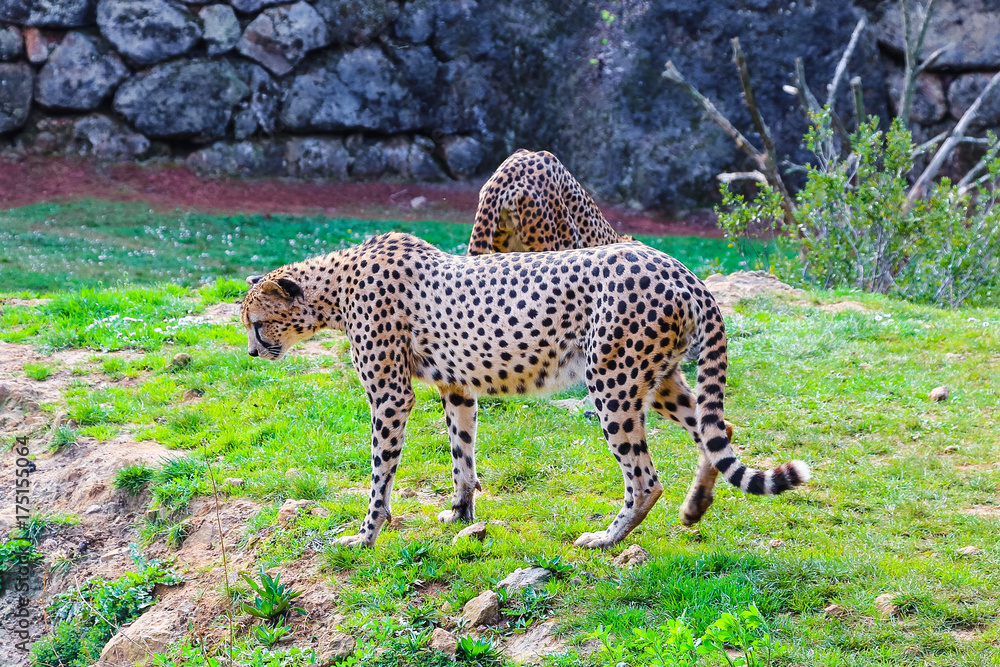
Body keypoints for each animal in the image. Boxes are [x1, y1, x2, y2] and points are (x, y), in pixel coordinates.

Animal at [240, 232, 810, 549]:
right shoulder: (456, 386)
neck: (335, 288)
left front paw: (364, 535)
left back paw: (607, 538)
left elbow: (380, 475)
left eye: (257, 323)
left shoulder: (390, 396)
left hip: (611, 382)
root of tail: (681, 270)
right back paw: (695, 507)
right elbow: (462, 455)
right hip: (659, 379)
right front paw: (461, 514)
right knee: (718, 427)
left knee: (646, 478)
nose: (251, 353)